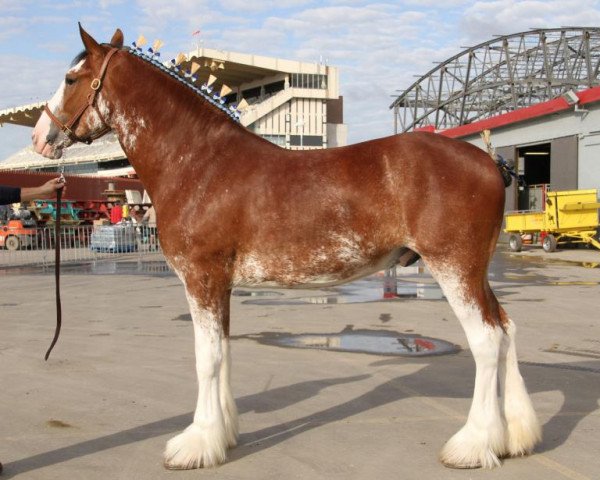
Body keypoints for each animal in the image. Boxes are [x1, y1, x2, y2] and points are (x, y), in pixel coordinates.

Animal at [30, 25, 540, 468]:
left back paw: (472, 445)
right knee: (507, 329)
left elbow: (206, 359)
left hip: (454, 267)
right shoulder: (220, 284)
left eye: (71, 79)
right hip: (475, 272)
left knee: (486, 341)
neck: (199, 162)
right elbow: (223, 351)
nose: (38, 137)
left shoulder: (201, 277)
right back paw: (514, 436)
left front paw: (195, 445)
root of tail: (488, 161)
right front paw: (223, 434)